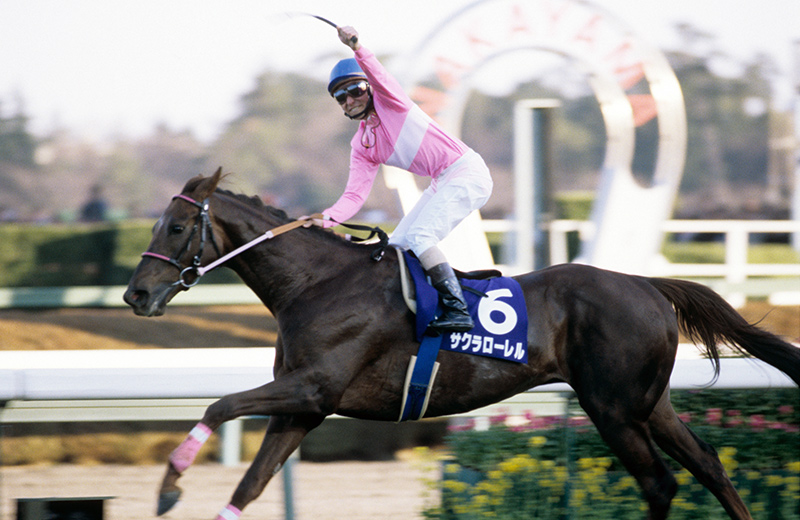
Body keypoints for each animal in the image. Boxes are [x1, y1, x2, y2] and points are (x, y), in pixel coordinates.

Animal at [124, 168, 800, 520]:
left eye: (177, 227)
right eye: (157, 224)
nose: (136, 294)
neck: (317, 283)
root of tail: (646, 283)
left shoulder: (313, 388)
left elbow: (219, 405)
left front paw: (168, 487)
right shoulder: (305, 409)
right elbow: (249, 484)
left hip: (612, 407)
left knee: (660, 482)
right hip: (648, 403)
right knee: (708, 464)